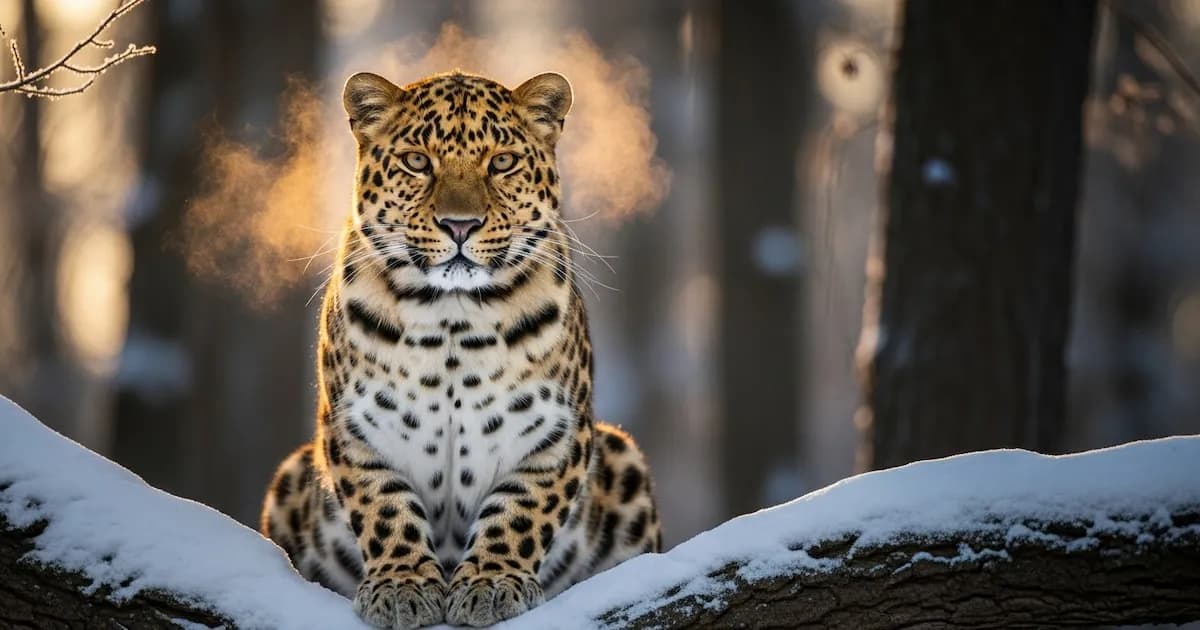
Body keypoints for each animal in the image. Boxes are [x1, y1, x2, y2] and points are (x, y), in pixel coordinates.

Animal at [260, 70, 662, 629]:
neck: (452, 316)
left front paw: (492, 582)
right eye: (417, 161)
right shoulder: (353, 430)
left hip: (622, 457)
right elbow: (385, 508)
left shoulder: (558, 435)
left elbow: (521, 511)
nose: (459, 225)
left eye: (502, 162)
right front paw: (402, 586)